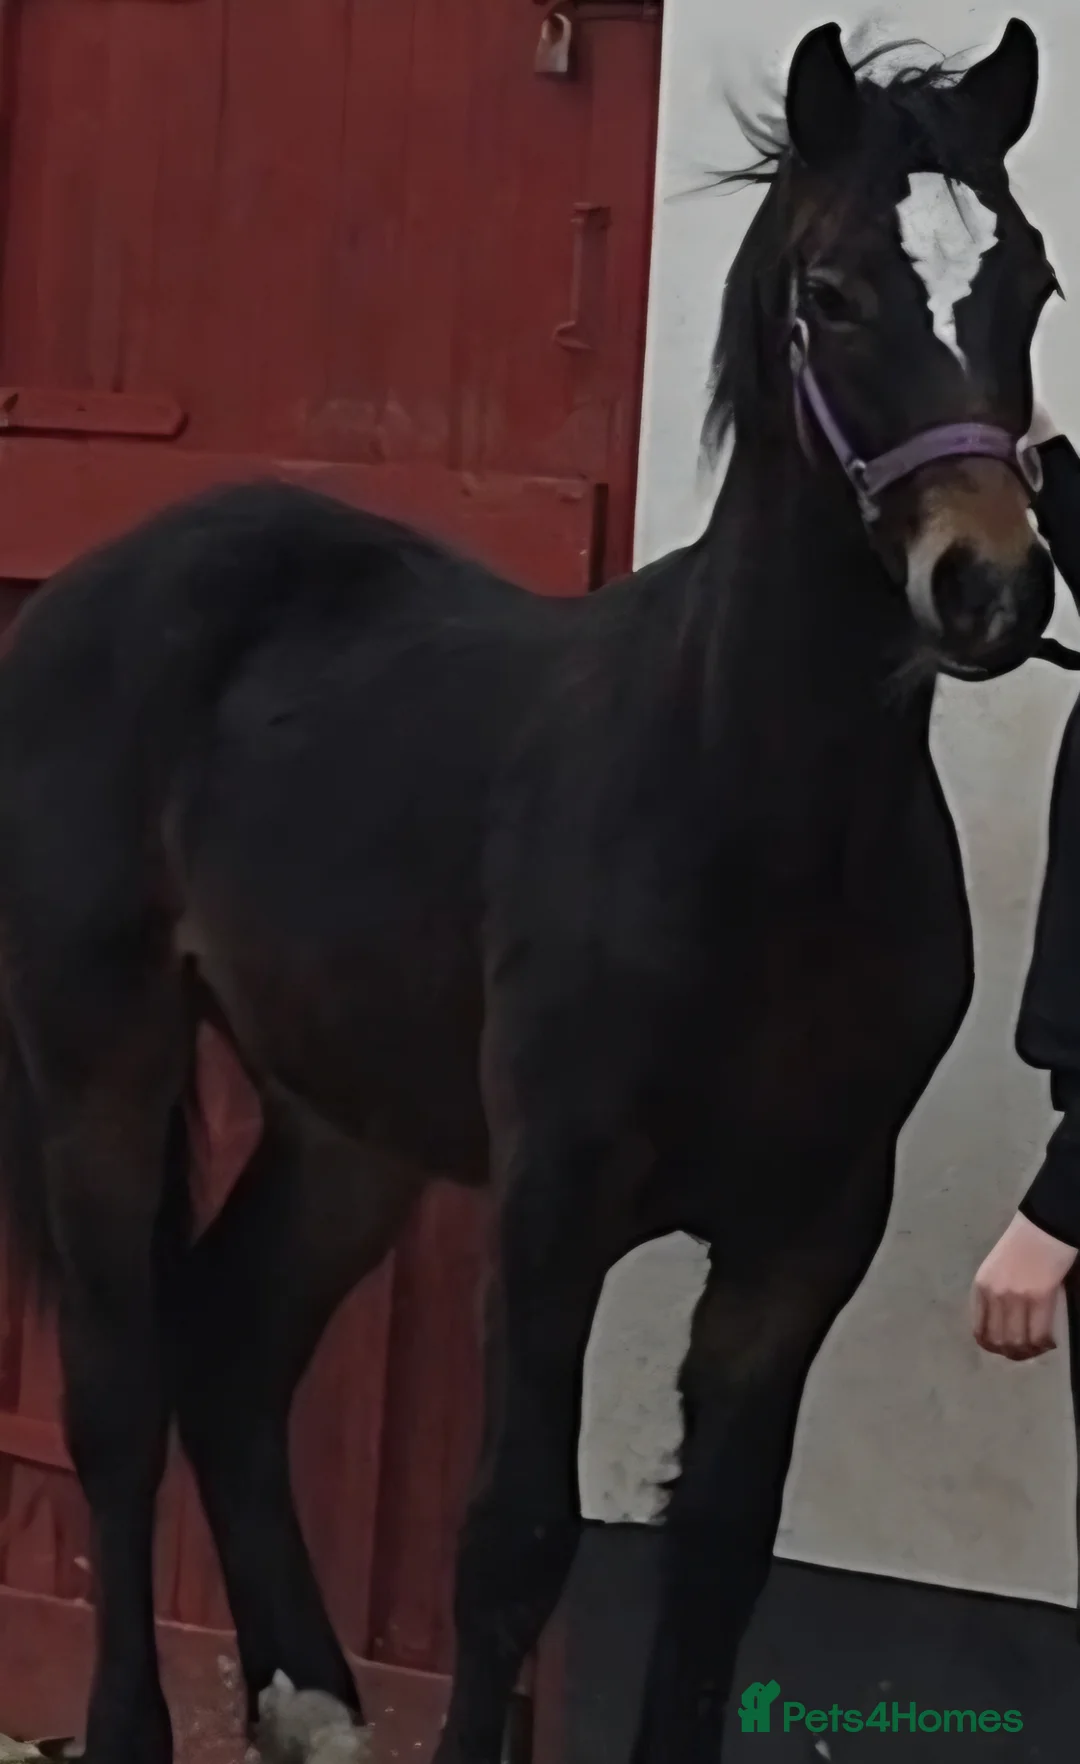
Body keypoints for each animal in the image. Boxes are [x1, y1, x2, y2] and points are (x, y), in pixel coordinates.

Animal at [0, 17, 1060, 1764]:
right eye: (835, 292)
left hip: (347, 1122)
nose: (991, 587)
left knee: (231, 1348)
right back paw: (142, 1724)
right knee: (118, 1395)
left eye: (1030, 280)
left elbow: (718, 1564)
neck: (755, 818)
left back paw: (313, 1703)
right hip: (99, 1061)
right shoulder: (555, 1208)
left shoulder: (807, 1233)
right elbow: (513, 1546)